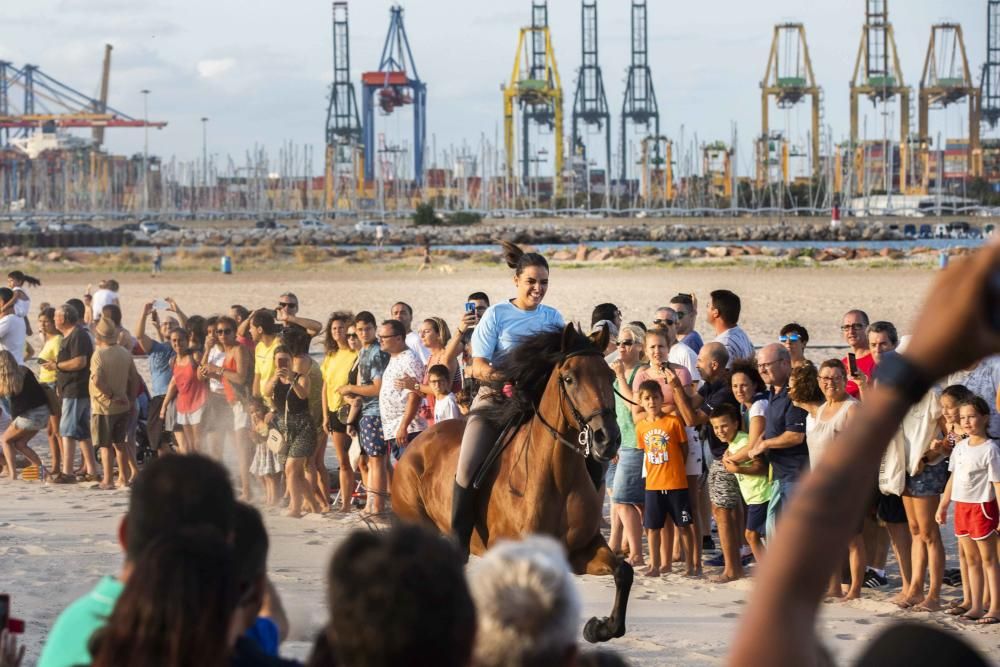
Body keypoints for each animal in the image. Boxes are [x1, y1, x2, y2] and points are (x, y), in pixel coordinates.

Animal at [390, 326, 632, 644]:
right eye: (569, 378)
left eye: (610, 375)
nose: (608, 439)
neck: (557, 477)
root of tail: (414, 443)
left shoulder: (581, 550)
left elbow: (624, 571)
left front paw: (599, 627)